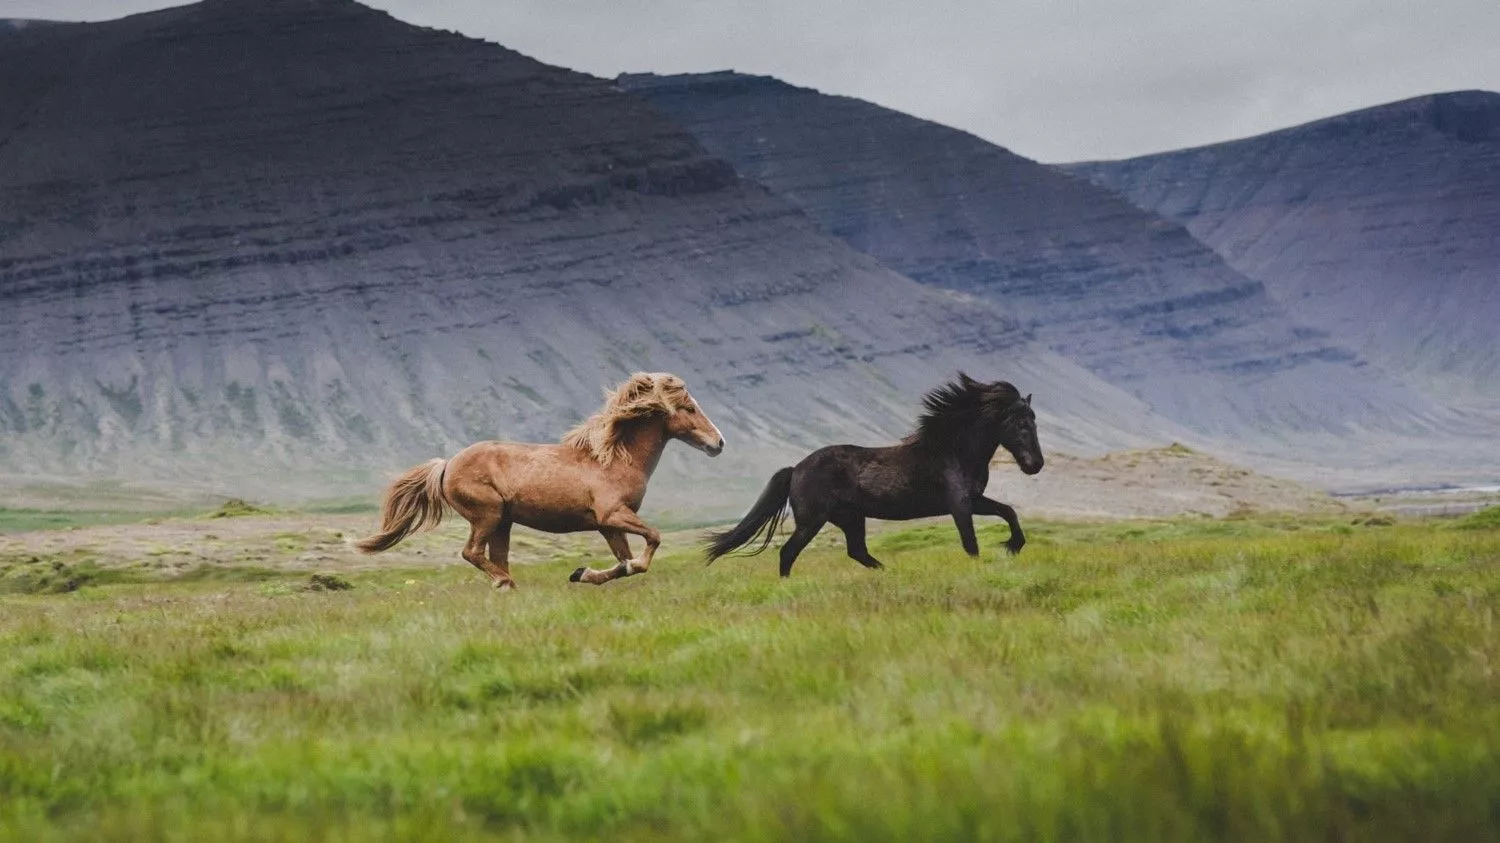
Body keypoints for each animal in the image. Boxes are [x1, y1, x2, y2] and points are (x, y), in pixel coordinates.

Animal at [355, 372, 724, 588]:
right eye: (689, 408)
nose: (718, 443)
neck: (615, 459)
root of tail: (447, 465)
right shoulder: (613, 515)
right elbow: (651, 544)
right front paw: (589, 572)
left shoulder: (608, 526)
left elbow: (624, 561)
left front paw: (583, 574)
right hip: (487, 515)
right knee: (472, 552)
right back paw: (504, 583)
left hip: (503, 523)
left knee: (495, 557)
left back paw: (508, 586)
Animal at [705, 373, 1042, 577]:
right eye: (1021, 424)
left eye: (1035, 421)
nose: (1035, 465)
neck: (953, 450)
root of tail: (796, 468)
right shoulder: (960, 504)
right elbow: (970, 542)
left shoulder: (974, 499)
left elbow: (1008, 512)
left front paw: (1013, 546)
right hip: (813, 521)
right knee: (789, 553)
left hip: (850, 517)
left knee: (857, 551)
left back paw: (888, 573)